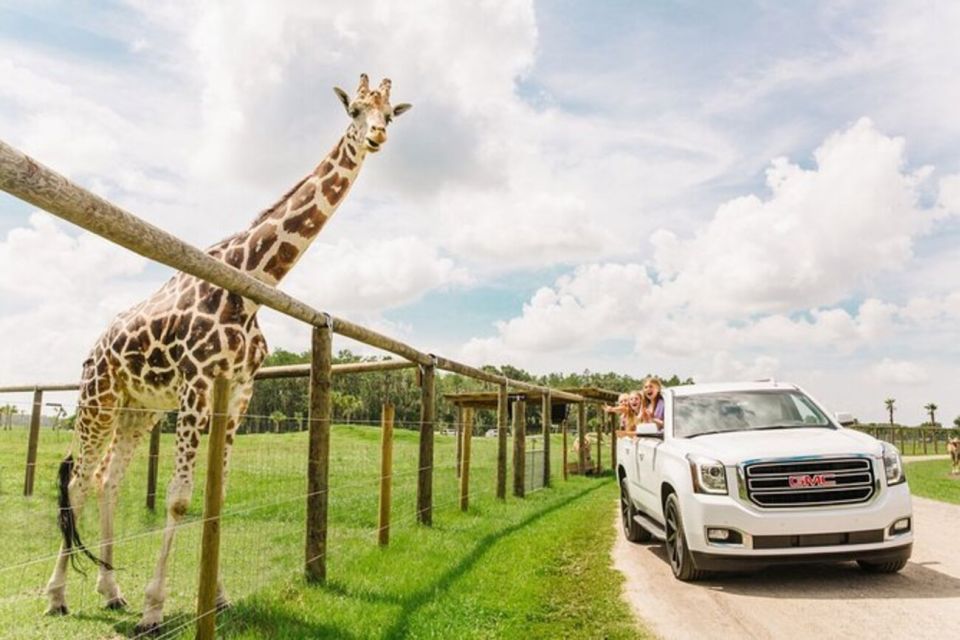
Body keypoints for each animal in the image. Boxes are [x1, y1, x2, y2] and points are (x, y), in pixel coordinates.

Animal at [43, 72, 410, 632]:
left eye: (390, 113)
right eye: (355, 111)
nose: (377, 137)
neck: (252, 282)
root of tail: (94, 350)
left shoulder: (238, 391)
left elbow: (217, 495)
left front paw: (216, 598)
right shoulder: (198, 384)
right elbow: (178, 500)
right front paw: (155, 609)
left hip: (139, 410)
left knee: (108, 480)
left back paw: (111, 591)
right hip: (98, 399)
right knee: (80, 483)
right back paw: (58, 595)